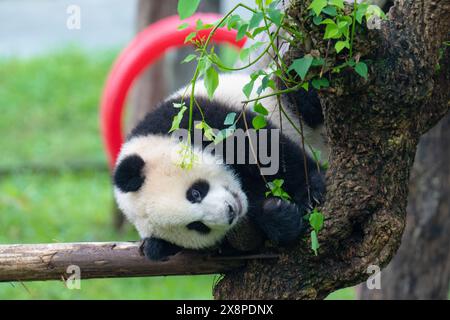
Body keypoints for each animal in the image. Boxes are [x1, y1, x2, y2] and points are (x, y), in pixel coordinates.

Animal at [113, 74, 326, 262]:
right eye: (197, 226)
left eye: (195, 193)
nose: (230, 211)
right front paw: (280, 217)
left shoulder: (191, 117)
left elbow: (265, 149)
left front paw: (311, 193)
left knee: (302, 98)